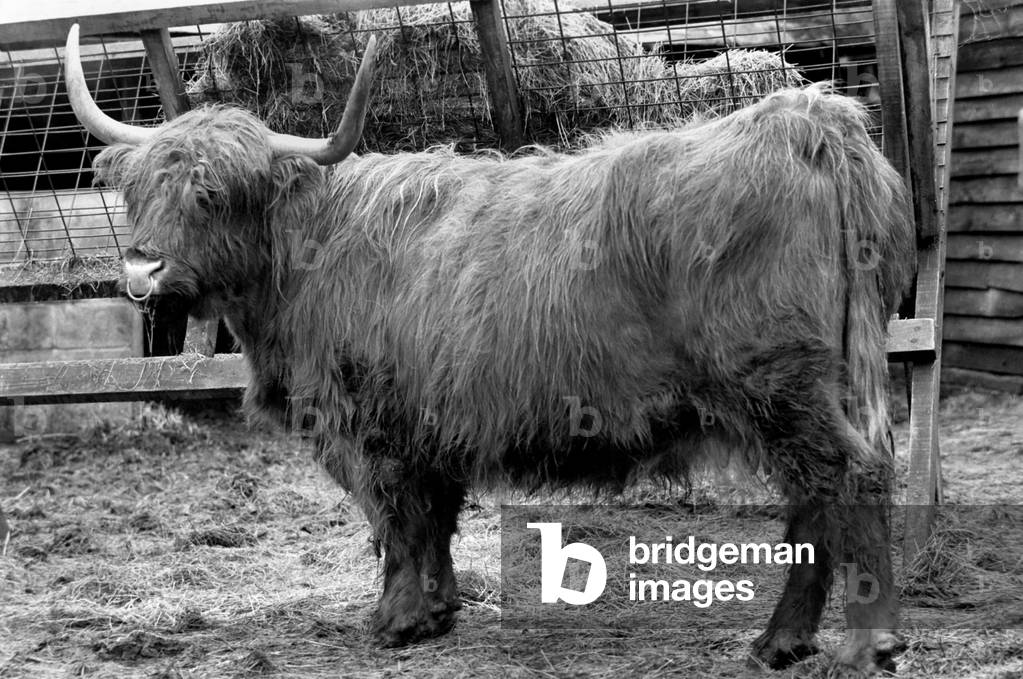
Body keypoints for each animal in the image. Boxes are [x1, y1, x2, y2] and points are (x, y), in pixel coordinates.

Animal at [65, 23, 914, 676]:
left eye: (213, 193)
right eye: (138, 189)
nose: (142, 268)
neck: (300, 255)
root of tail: (805, 116)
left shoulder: (368, 423)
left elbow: (397, 520)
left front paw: (397, 619)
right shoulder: (428, 420)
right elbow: (433, 517)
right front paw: (437, 609)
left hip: (779, 382)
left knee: (846, 477)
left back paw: (860, 643)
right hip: (813, 383)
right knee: (819, 493)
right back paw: (781, 641)